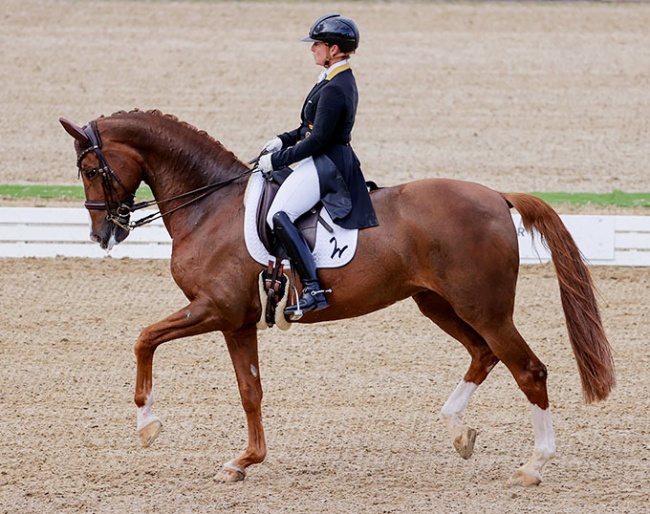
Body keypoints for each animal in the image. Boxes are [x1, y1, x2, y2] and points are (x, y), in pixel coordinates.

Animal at [59, 108, 612, 484]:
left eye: (90, 170)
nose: (102, 235)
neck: (209, 206)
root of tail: (497, 196)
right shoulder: (237, 321)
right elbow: (250, 391)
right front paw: (243, 462)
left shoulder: (214, 309)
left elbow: (144, 338)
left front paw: (147, 425)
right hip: (438, 304)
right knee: (483, 354)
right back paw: (458, 431)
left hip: (485, 309)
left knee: (528, 370)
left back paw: (533, 466)